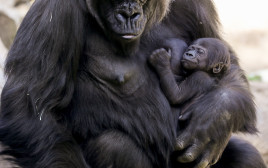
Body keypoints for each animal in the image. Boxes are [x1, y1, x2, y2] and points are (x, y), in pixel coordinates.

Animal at [0, 0, 264, 167]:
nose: (129, 14)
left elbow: (227, 59)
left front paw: (215, 116)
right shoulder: (55, 11)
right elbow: (31, 105)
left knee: (247, 155)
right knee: (113, 145)